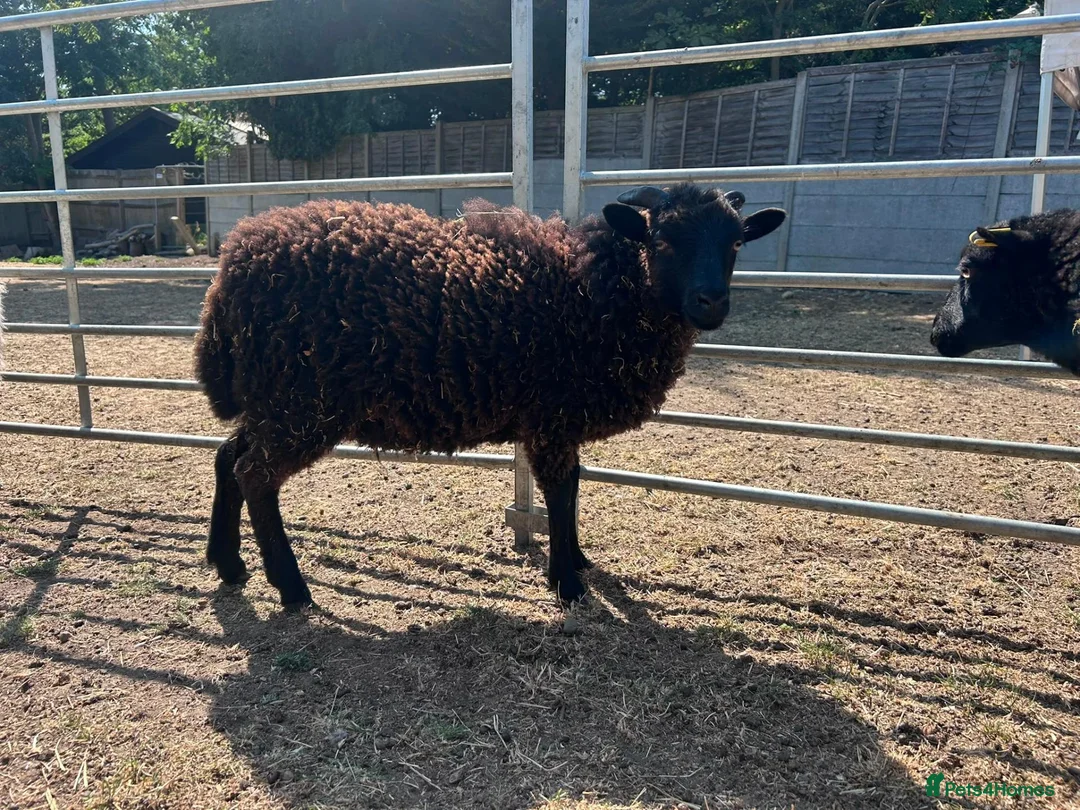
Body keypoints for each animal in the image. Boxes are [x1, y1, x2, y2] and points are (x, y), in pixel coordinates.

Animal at [195, 184, 787, 608]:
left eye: (736, 242)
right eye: (662, 240)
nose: (711, 301)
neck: (593, 290)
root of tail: (231, 268)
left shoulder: (560, 422)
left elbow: (573, 488)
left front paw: (578, 560)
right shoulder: (552, 417)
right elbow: (560, 493)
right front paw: (567, 584)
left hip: (273, 400)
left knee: (228, 458)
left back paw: (228, 565)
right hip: (302, 402)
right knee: (255, 474)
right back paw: (291, 589)